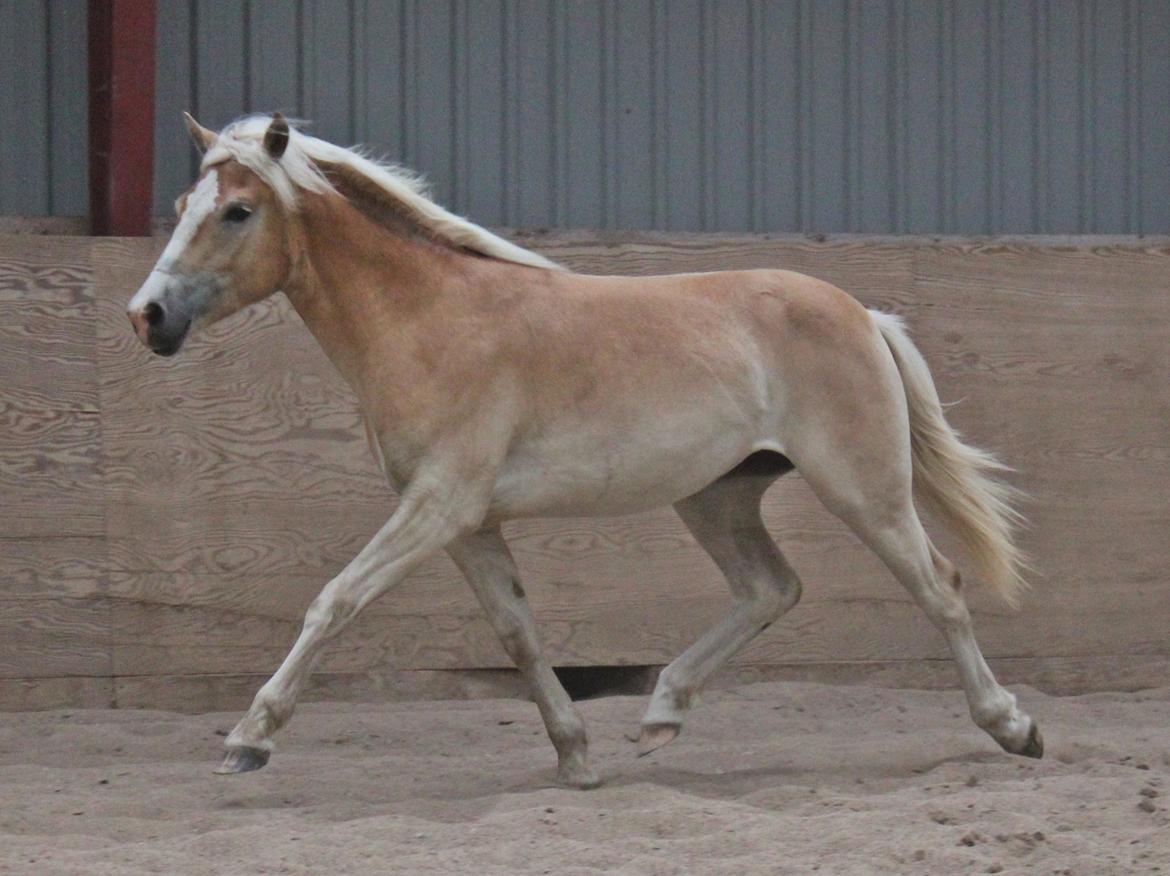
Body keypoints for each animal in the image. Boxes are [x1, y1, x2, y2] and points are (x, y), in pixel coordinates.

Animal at [130, 112, 1043, 790]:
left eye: (237, 211)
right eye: (181, 202)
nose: (149, 316)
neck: (431, 319)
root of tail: (863, 314)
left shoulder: (439, 506)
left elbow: (335, 600)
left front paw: (248, 741)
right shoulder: (468, 524)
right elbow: (518, 633)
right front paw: (575, 758)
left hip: (862, 488)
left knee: (940, 588)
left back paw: (1014, 727)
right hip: (716, 495)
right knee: (770, 588)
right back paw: (661, 714)